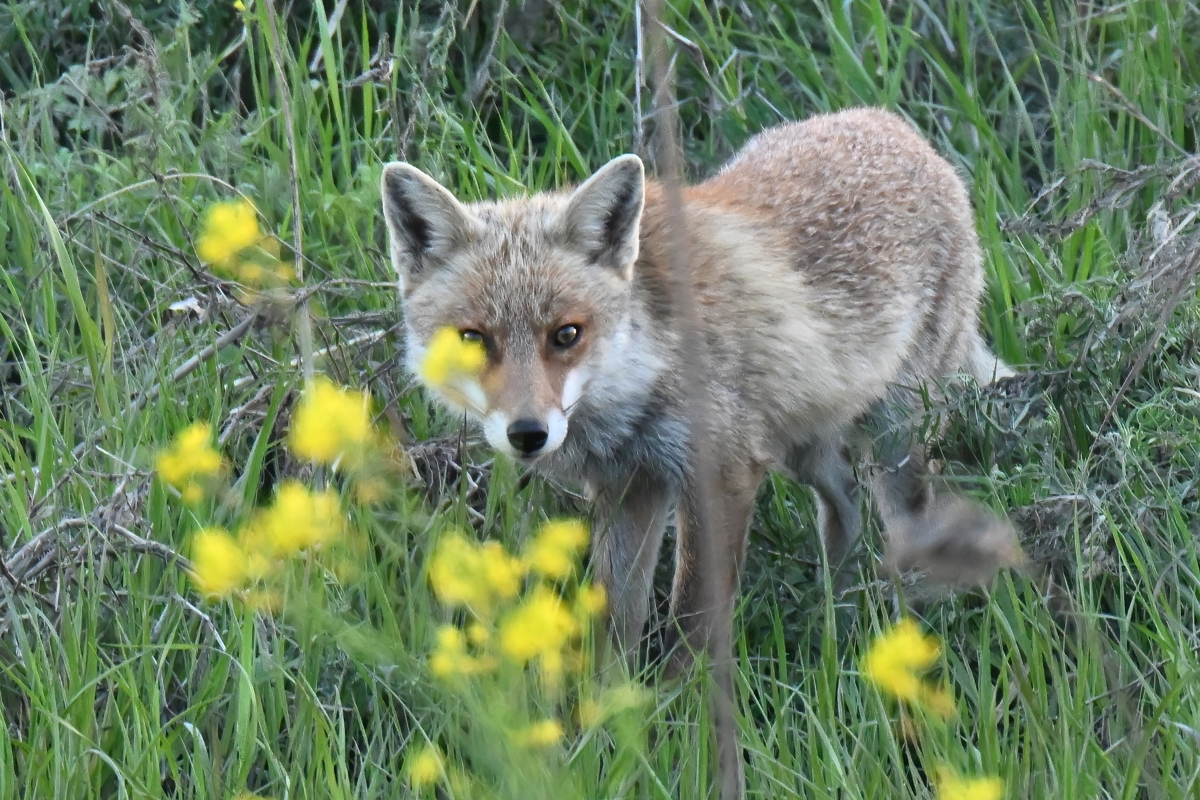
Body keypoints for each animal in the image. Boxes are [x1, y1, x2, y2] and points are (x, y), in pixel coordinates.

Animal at [380, 107, 1017, 670]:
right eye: (472, 338)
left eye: (566, 334)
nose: (528, 434)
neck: (640, 383)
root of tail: (897, 125)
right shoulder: (630, 485)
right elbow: (616, 624)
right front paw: (610, 717)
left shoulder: (721, 472)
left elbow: (691, 625)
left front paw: (679, 716)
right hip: (799, 445)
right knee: (843, 501)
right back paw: (834, 614)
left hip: (893, 439)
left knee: (907, 523)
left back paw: (902, 621)